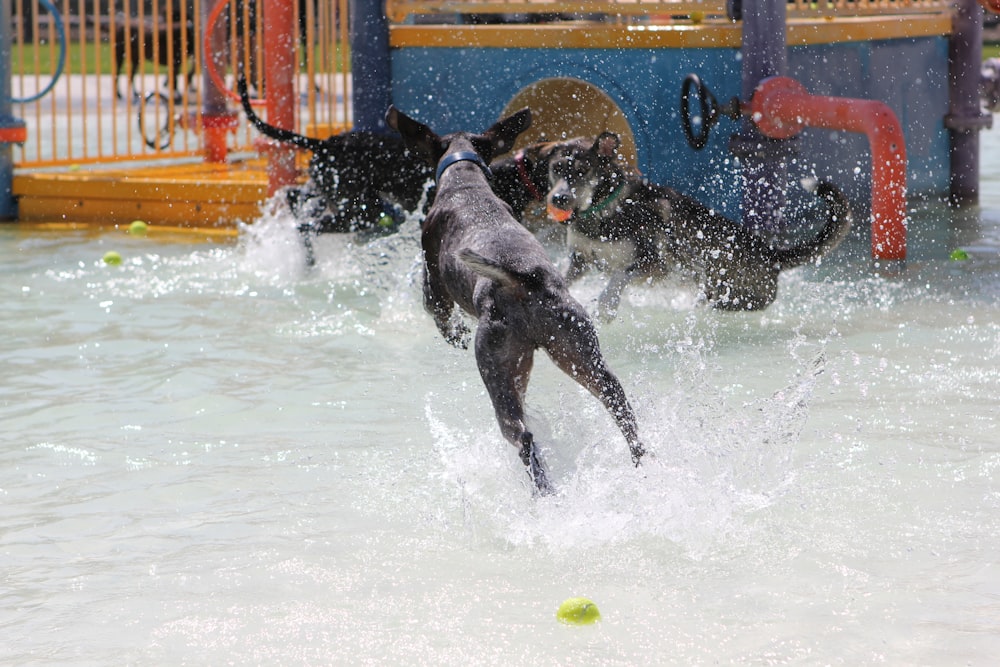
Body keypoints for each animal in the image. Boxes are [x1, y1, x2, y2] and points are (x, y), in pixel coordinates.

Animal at [386, 105, 644, 496]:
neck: (466, 183)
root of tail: (526, 280)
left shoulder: (433, 282)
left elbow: (439, 314)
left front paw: (455, 335)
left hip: (498, 366)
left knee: (522, 436)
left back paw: (544, 491)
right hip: (578, 349)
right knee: (618, 404)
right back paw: (643, 459)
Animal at [548, 134, 852, 318]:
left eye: (582, 171)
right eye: (556, 169)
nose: (558, 198)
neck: (604, 208)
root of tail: (772, 255)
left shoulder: (654, 263)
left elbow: (620, 275)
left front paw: (607, 307)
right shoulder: (580, 260)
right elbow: (563, 277)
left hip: (727, 295)